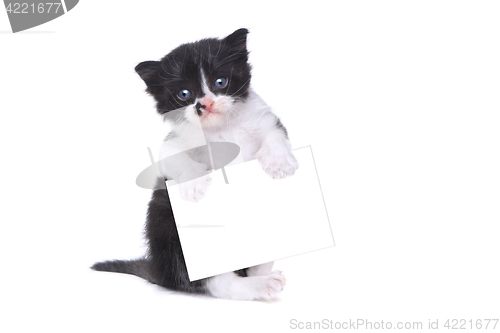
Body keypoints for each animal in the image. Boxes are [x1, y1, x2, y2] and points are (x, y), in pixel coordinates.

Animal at [91, 27, 296, 298]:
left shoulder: (265, 120)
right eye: (184, 94)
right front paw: (194, 186)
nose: (204, 104)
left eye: (220, 82)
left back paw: (260, 268)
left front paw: (280, 164)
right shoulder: (174, 143)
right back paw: (257, 284)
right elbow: (173, 156)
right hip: (166, 224)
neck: (222, 128)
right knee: (213, 281)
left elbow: (275, 134)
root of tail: (159, 270)